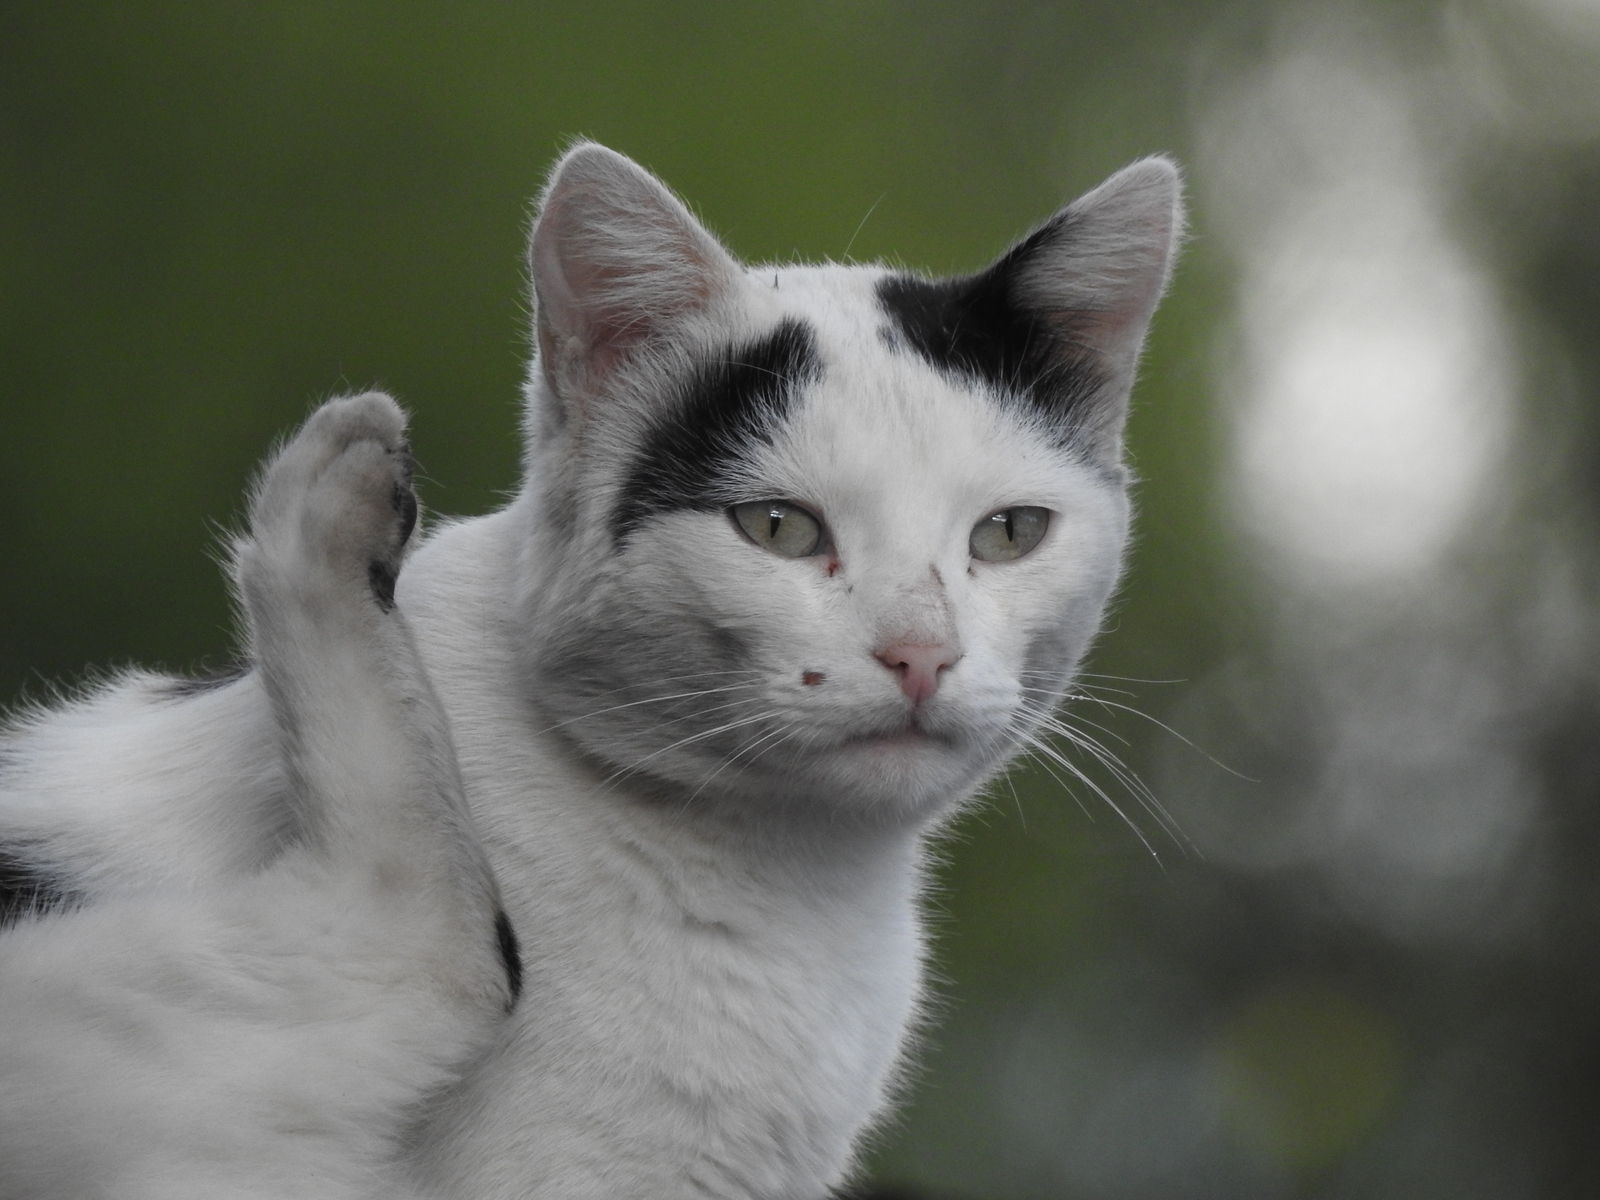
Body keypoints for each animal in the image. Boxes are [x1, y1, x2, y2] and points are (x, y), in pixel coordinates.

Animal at [0, 143, 1177, 1200]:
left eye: (1010, 534)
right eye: (779, 528)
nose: (922, 652)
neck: (788, 885)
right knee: (416, 953)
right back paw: (327, 504)